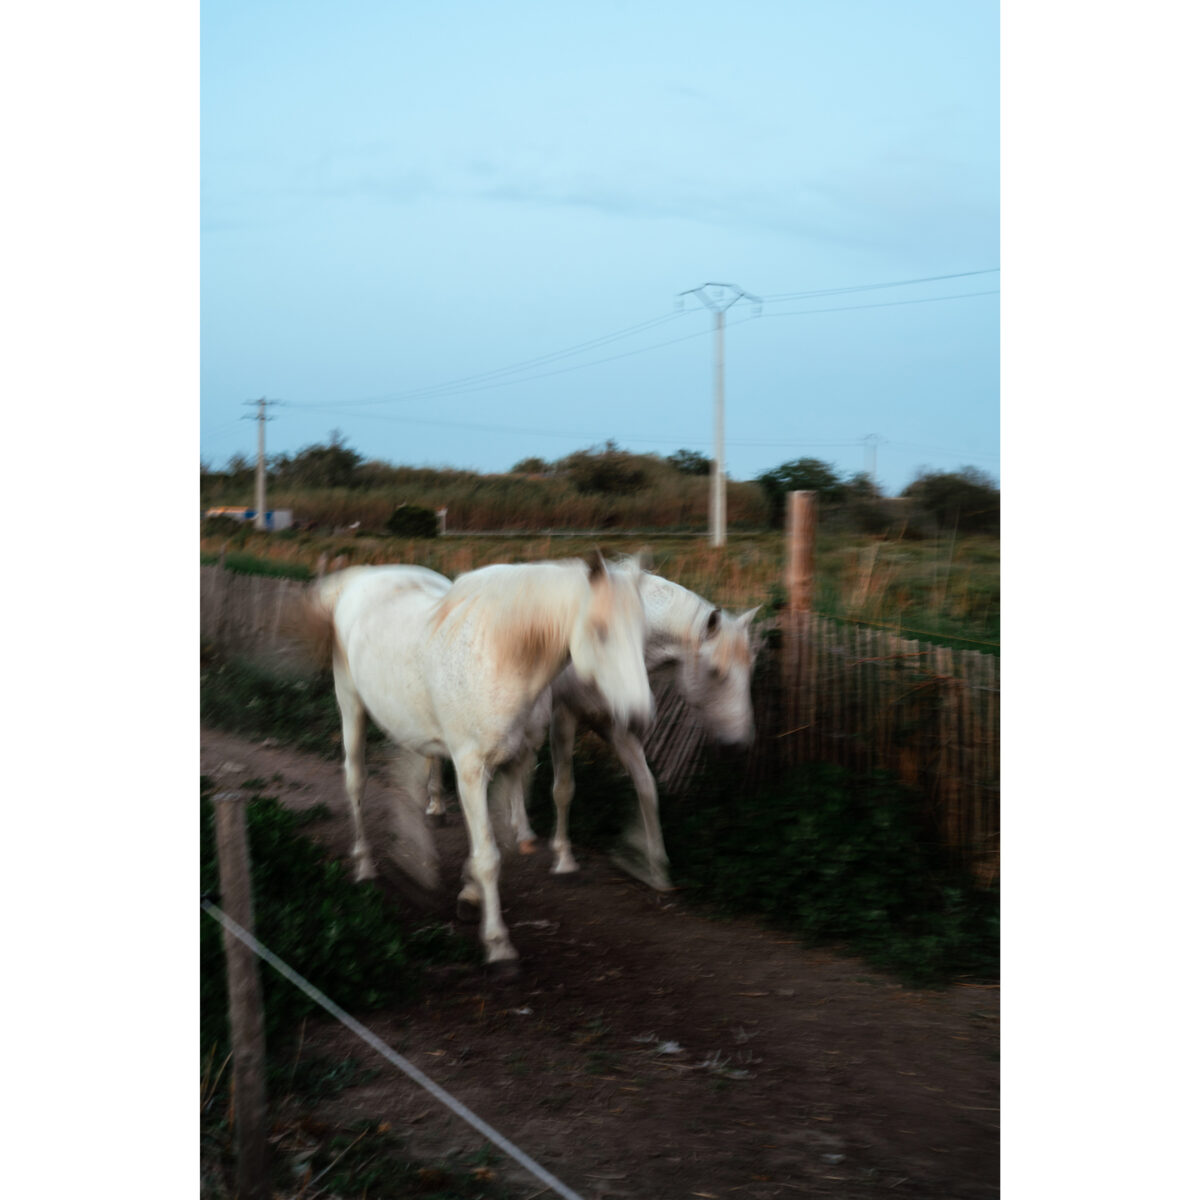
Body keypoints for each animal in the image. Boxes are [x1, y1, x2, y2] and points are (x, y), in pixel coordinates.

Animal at [300, 553, 653, 972]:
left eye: (643, 633)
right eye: (600, 631)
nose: (639, 718)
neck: (502, 655)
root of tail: (360, 580)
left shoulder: (512, 763)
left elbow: (499, 841)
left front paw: (469, 896)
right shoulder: (470, 769)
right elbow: (488, 855)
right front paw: (498, 943)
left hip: (411, 725)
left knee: (409, 785)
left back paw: (416, 863)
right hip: (351, 706)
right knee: (356, 781)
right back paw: (366, 865)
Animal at [427, 567, 758, 891]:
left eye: (750, 670)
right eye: (716, 672)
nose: (740, 744)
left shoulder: (617, 728)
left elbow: (646, 786)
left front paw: (655, 868)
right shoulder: (564, 716)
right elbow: (563, 789)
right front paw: (564, 860)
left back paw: (522, 831)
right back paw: (437, 808)